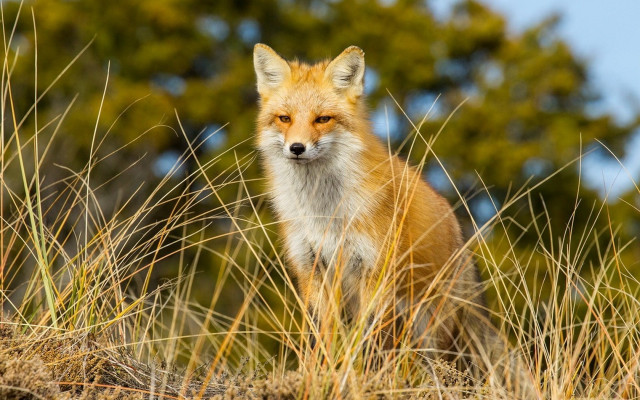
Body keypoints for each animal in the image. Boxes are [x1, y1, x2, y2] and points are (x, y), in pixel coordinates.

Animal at [253, 43, 535, 397]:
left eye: (322, 119)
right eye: (285, 118)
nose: (297, 148)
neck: (325, 212)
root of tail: (459, 234)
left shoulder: (374, 272)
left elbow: (367, 343)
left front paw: (359, 382)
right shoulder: (312, 269)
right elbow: (320, 340)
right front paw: (317, 378)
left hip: (428, 328)